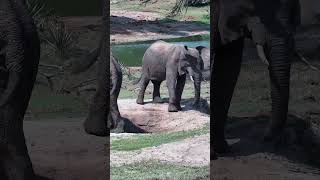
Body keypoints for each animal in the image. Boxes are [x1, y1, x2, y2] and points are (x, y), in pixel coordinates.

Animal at [211, 0, 302, 156]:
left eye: (293, 10)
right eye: (252, 8)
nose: (265, 138)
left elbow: (228, 68)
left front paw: (223, 150)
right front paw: (214, 154)